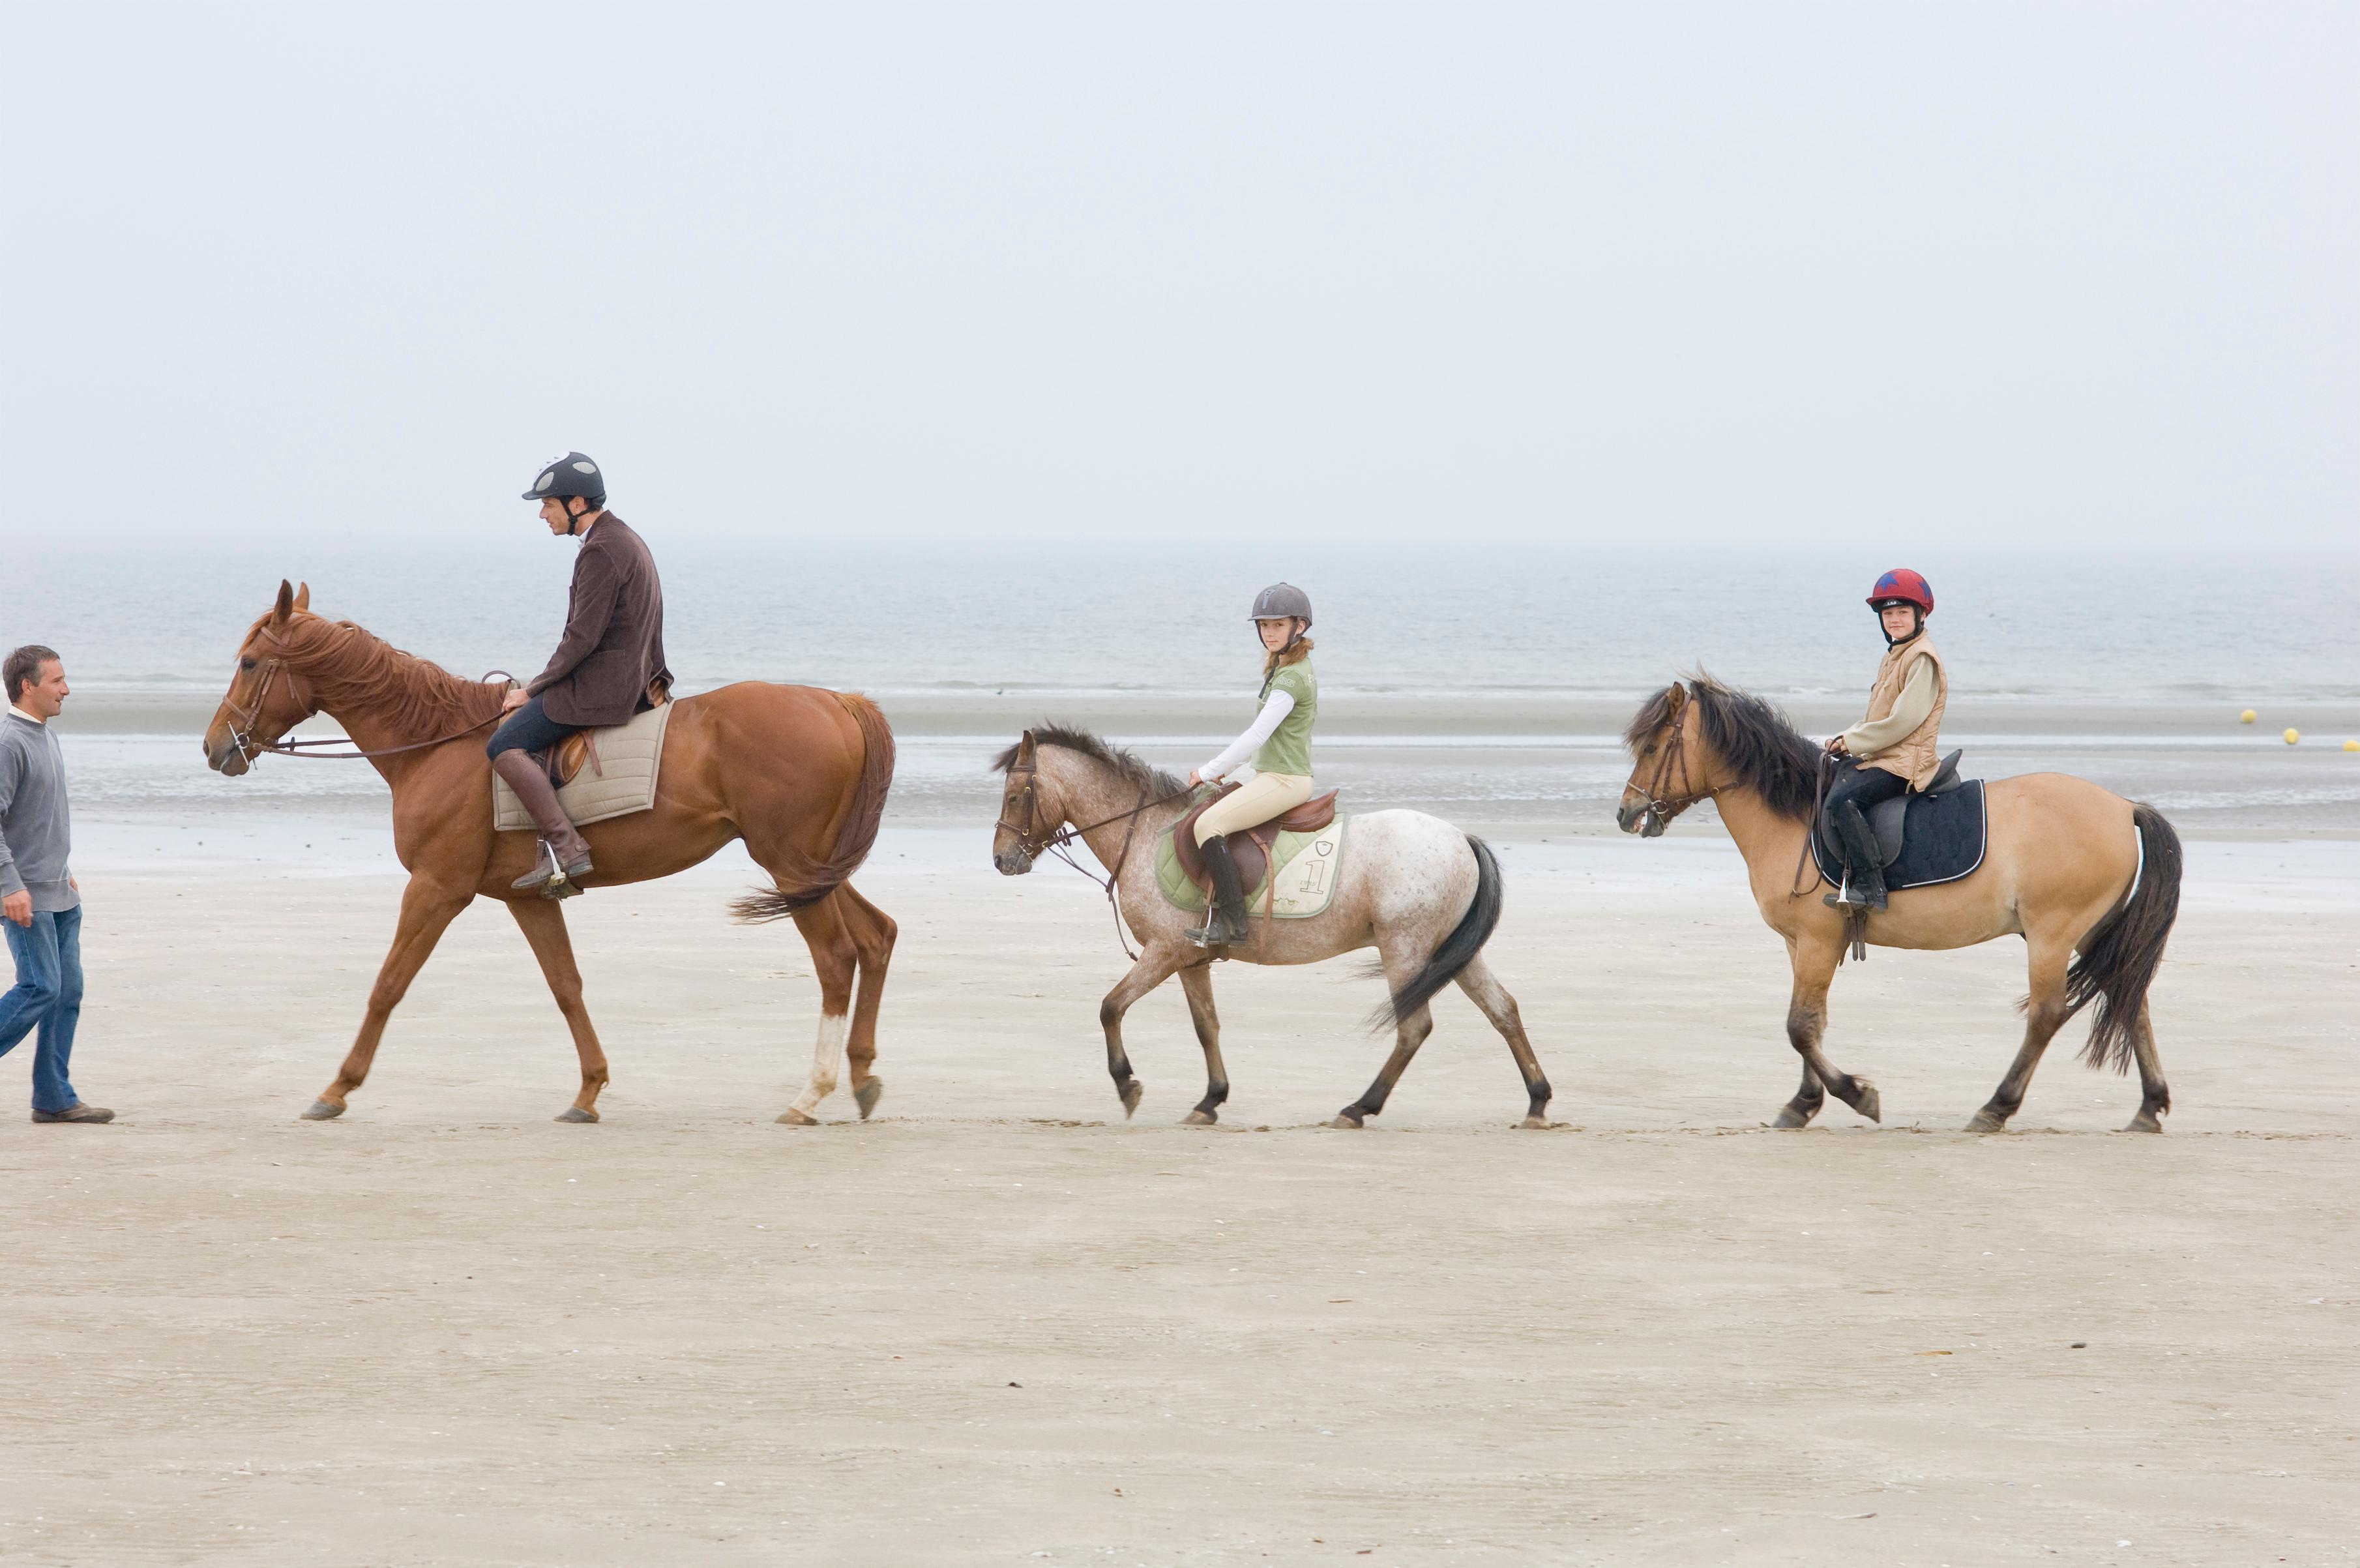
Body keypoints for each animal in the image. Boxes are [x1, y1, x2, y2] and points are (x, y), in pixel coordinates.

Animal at [203, 581, 896, 1119]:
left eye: (250, 663)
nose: (214, 747)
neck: (436, 743)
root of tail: (838, 702)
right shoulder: (527, 898)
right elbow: (566, 985)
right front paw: (588, 1092)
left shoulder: (436, 888)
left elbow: (389, 984)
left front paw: (337, 1089)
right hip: (812, 869)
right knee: (877, 937)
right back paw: (862, 1076)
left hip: (790, 866)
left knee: (837, 959)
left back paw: (811, 1095)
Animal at [991, 722, 1557, 1129]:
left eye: (1016, 794)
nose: (1001, 860)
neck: (1147, 831)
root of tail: (1461, 838)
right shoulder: (1190, 958)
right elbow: (1206, 1026)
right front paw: (1211, 1100)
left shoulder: (1164, 951)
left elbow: (1110, 1007)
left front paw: (1128, 1086)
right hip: (1452, 951)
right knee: (1503, 1010)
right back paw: (1537, 1101)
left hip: (1406, 948)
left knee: (1414, 1027)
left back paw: (1359, 1108)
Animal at [1614, 680, 2180, 1133]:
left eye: (1653, 745)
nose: (1626, 813)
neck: (1794, 816)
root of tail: (2124, 807)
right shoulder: (1803, 944)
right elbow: (1812, 1023)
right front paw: (1803, 1104)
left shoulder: (1818, 940)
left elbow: (1800, 1027)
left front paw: (1857, 1095)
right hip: (2090, 931)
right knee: (2133, 1001)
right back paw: (2148, 1108)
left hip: (2052, 933)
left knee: (2046, 1015)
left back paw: (1995, 1108)